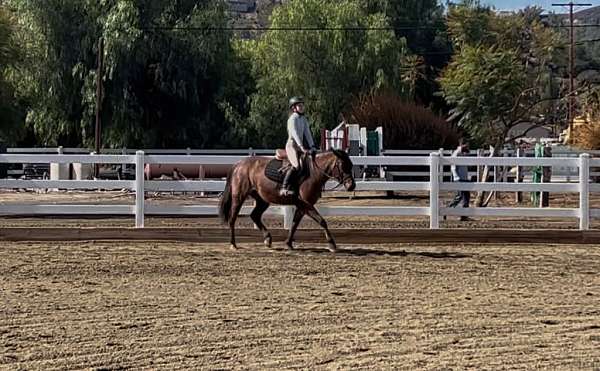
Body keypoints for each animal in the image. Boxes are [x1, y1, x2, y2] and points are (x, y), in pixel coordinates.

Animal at [217, 150, 354, 253]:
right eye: (342, 165)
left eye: (351, 165)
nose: (351, 186)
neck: (312, 173)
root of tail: (239, 164)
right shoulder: (306, 204)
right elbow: (322, 221)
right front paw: (332, 244)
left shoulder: (302, 205)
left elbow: (294, 224)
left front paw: (288, 243)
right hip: (239, 197)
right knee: (232, 219)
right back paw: (233, 244)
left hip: (262, 200)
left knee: (254, 215)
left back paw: (268, 239)